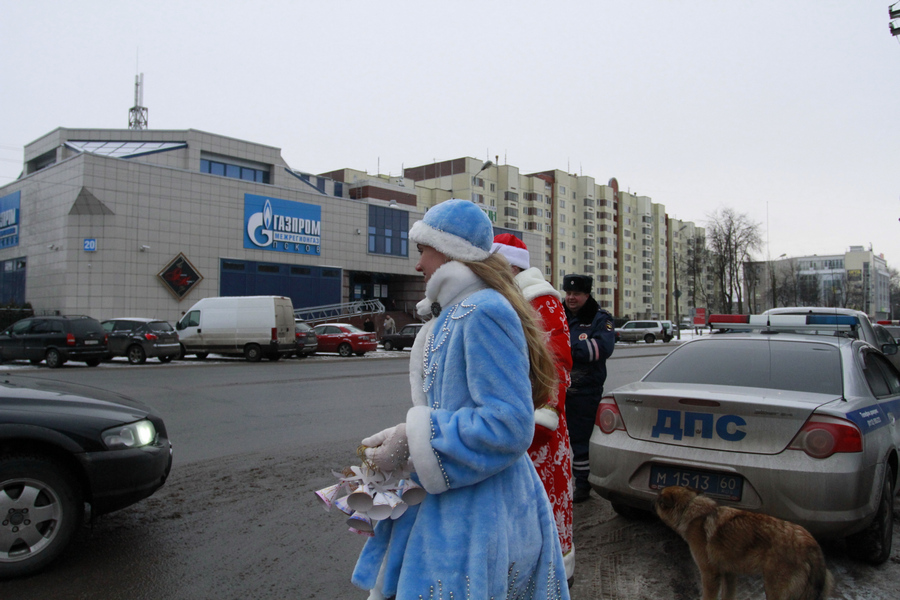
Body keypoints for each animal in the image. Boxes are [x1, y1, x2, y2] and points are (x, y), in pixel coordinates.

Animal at [652, 486, 828, 596]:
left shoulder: (710, 574)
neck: (690, 508)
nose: (654, 498)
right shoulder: (729, 573)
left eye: (659, 500)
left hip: (776, 589)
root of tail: (811, 545)